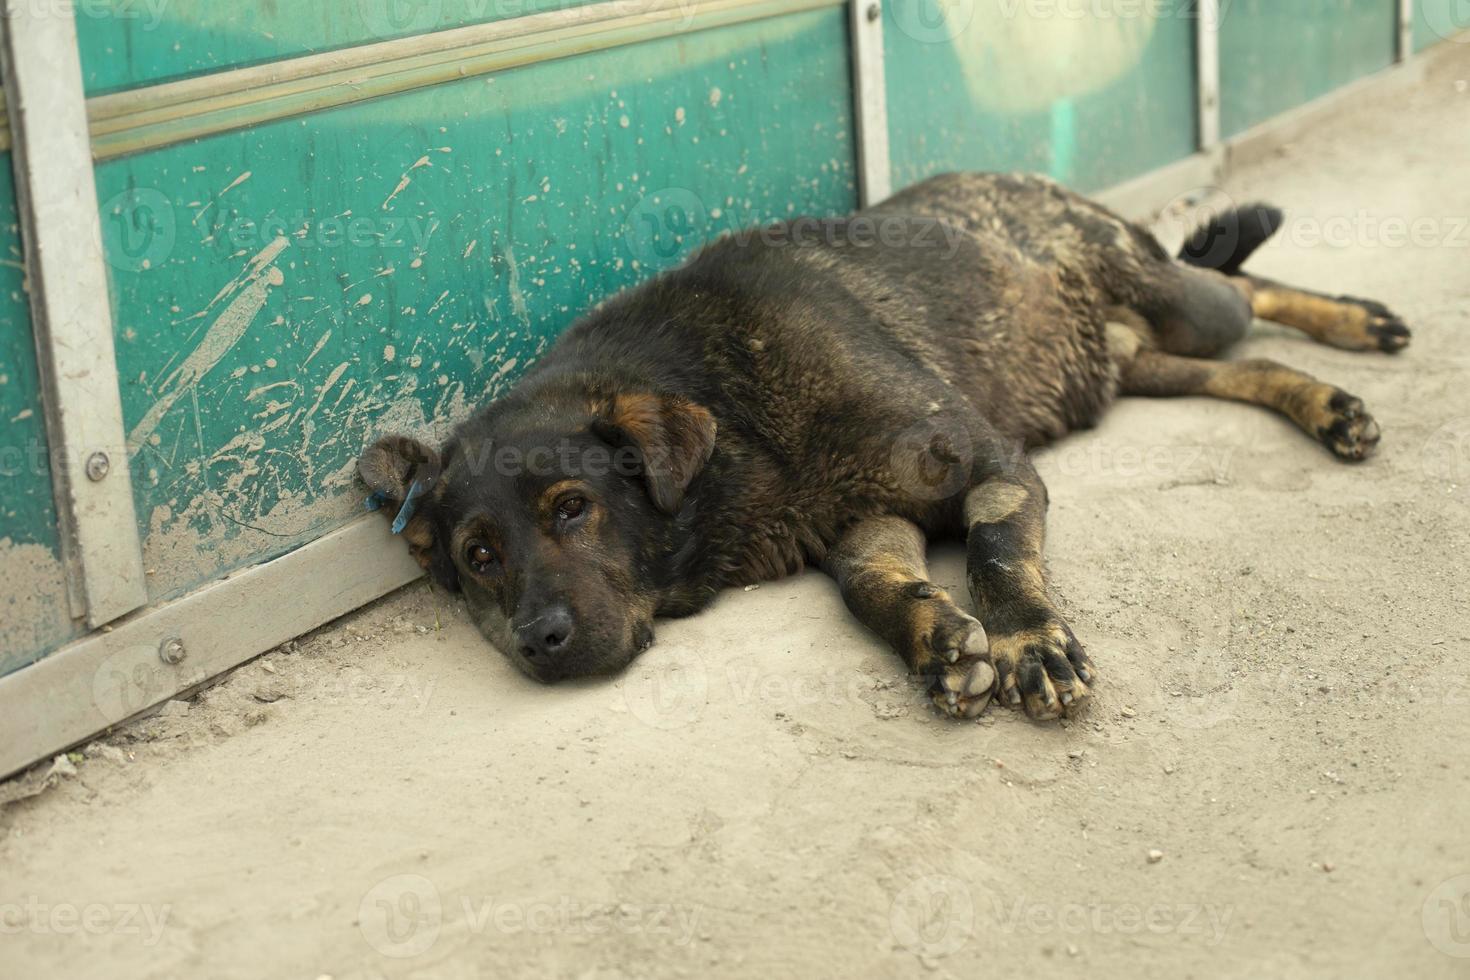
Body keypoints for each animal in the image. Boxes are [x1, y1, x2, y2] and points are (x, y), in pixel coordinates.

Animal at [358, 172, 1411, 719]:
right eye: (479, 557)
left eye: (573, 507)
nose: (538, 640)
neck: (729, 407)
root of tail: (1027, 175)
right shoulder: (866, 522)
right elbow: (869, 592)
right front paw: (935, 640)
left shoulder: (991, 467)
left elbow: (993, 554)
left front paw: (1028, 641)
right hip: (1138, 366)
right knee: (1240, 365)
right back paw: (1323, 400)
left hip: (1181, 304)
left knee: (1240, 285)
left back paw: (1358, 325)